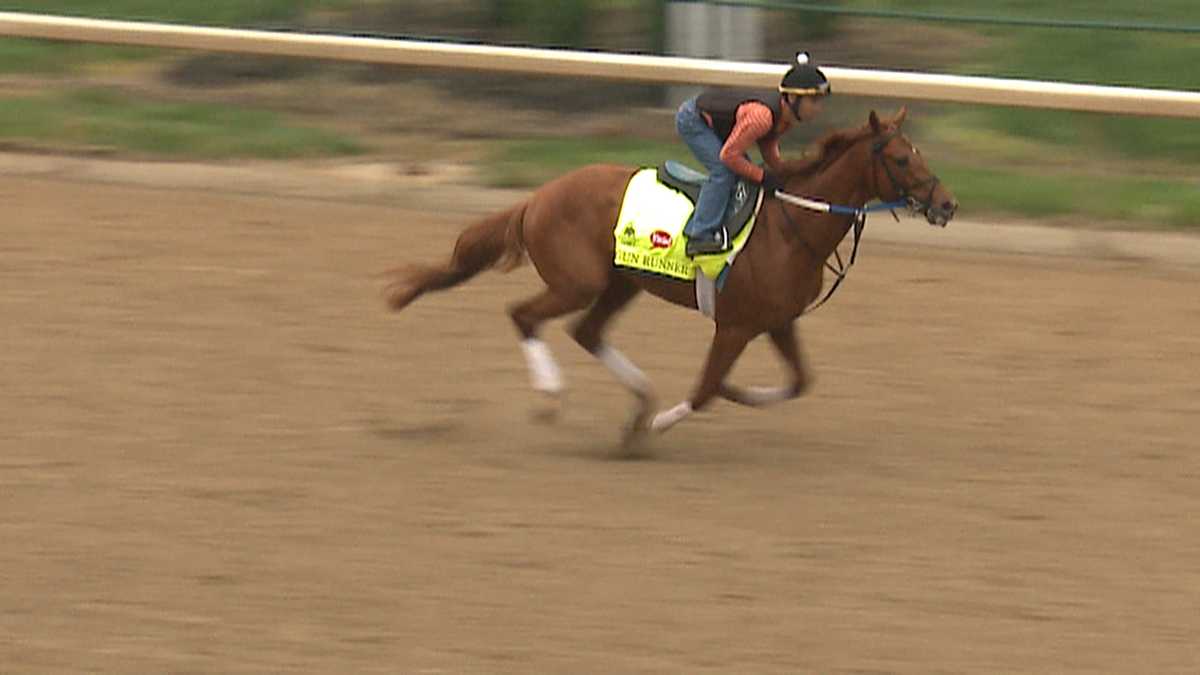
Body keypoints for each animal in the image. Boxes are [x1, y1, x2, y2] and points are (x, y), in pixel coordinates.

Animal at [383, 108, 957, 447]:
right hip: (579, 282)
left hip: (620, 284)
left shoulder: (778, 321)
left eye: (920, 153)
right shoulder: (735, 325)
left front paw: (740, 393)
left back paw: (640, 401)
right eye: (902, 158)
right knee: (523, 315)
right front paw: (661, 425)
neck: (792, 226)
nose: (947, 204)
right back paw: (556, 396)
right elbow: (704, 389)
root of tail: (538, 197)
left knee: (586, 332)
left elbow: (799, 380)